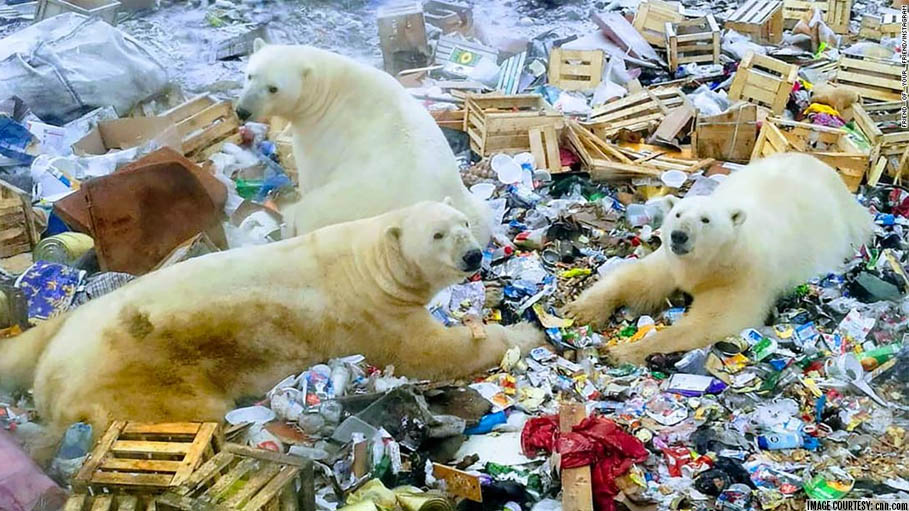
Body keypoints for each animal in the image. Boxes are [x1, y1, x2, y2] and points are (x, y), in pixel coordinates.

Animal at [0, 201, 543, 440]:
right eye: (437, 235)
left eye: (465, 223)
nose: (474, 256)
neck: (369, 264)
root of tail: (51, 383)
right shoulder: (372, 314)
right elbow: (430, 352)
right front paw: (526, 331)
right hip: (140, 376)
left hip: (67, 324)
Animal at [235, 41, 492, 246]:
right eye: (250, 75)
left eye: (273, 88)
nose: (242, 111)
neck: (328, 87)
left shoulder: (322, 132)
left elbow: (311, 175)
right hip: (468, 205)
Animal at [564, 153, 873, 365]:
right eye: (678, 214)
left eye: (705, 220)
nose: (678, 236)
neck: (715, 261)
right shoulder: (672, 262)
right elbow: (636, 280)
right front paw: (579, 311)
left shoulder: (741, 278)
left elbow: (711, 322)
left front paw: (621, 351)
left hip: (847, 226)